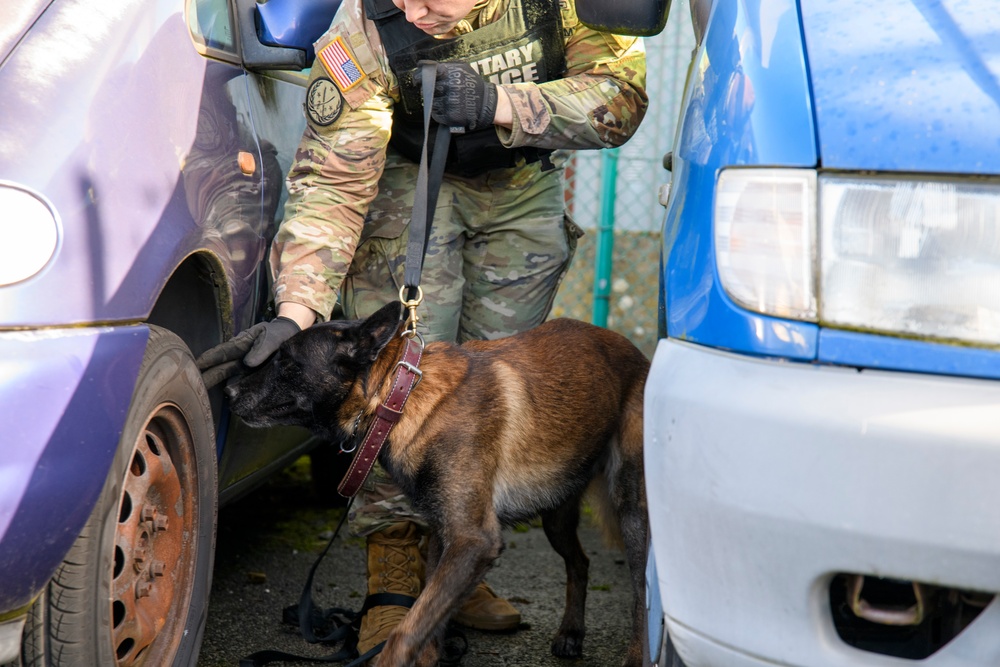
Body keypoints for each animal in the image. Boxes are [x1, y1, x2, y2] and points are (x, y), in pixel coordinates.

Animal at [226, 304, 648, 667]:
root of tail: (636, 351)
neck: (399, 395)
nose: (228, 390)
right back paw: (571, 633)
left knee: (642, 592)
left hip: (631, 513)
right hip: (556, 514)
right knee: (580, 562)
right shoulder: (444, 535)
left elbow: (408, 630)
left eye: (286, 360)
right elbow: (427, 625)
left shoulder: (472, 541)